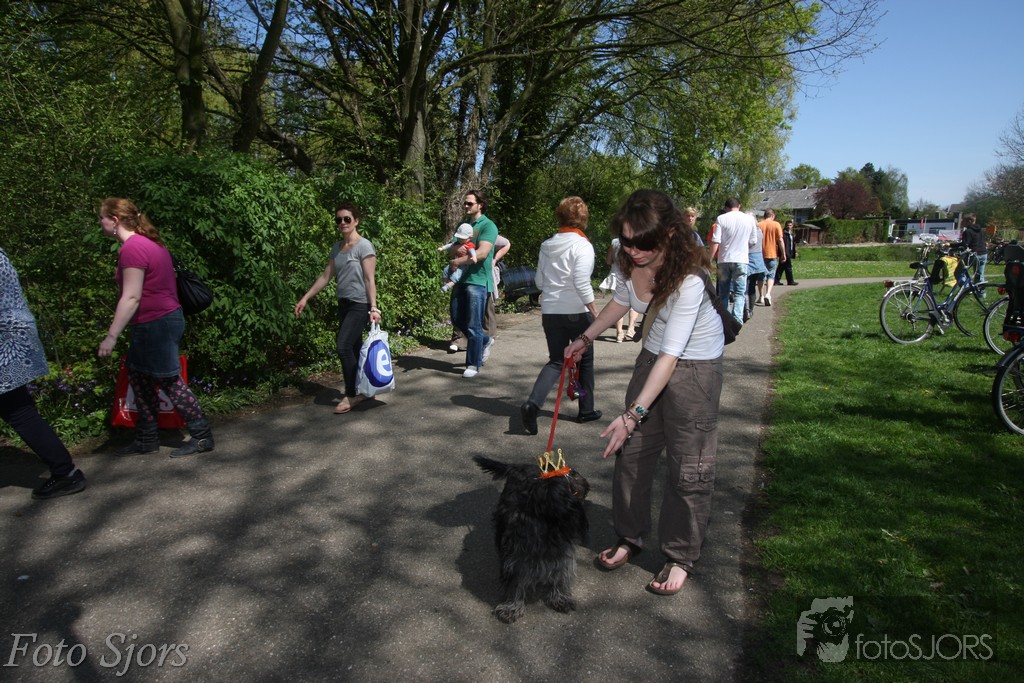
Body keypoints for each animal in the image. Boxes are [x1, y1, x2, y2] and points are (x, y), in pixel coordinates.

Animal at [473, 454, 589, 623]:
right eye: (572, 473)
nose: (586, 483)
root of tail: (521, 466)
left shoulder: (562, 552)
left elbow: (560, 572)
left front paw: (560, 597)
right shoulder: (515, 559)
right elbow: (515, 583)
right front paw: (512, 607)